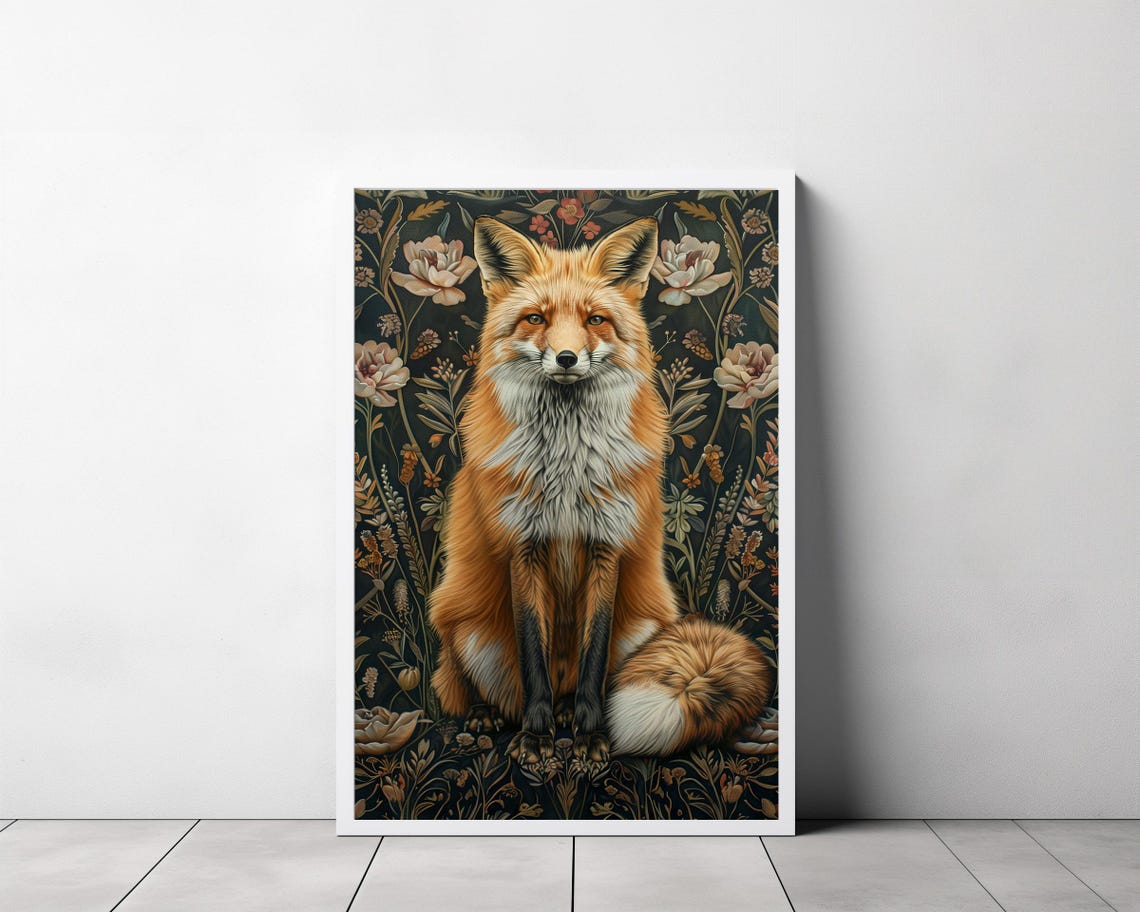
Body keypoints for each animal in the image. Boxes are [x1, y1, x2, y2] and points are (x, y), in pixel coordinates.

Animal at [427, 214, 772, 767]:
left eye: (594, 320)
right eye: (535, 318)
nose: (566, 358)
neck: (567, 471)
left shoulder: (606, 545)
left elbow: (593, 656)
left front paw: (590, 737)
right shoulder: (523, 547)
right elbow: (533, 657)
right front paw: (537, 737)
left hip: (643, 628)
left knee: (587, 681)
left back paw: (571, 714)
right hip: (464, 625)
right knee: (470, 684)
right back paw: (489, 716)